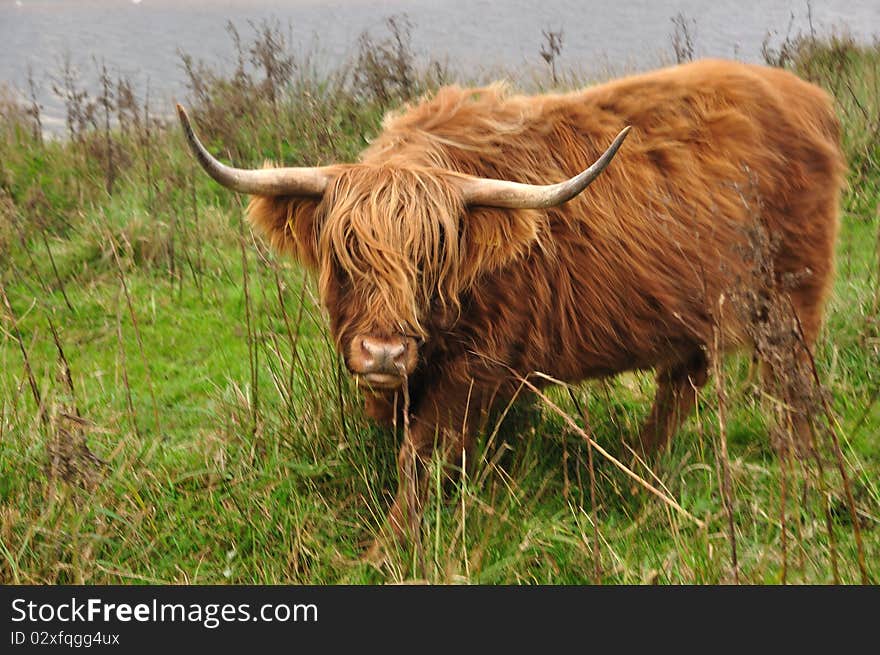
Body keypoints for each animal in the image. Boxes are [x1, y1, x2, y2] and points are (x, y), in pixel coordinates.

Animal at [179, 57, 844, 552]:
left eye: (431, 259)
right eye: (344, 258)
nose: (383, 351)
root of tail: (807, 96)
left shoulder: (480, 365)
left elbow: (421, 456)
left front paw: (385, 551)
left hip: (790, 299)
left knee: (791, 392)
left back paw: (795, 484)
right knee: (684, 381)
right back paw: (636, 471)